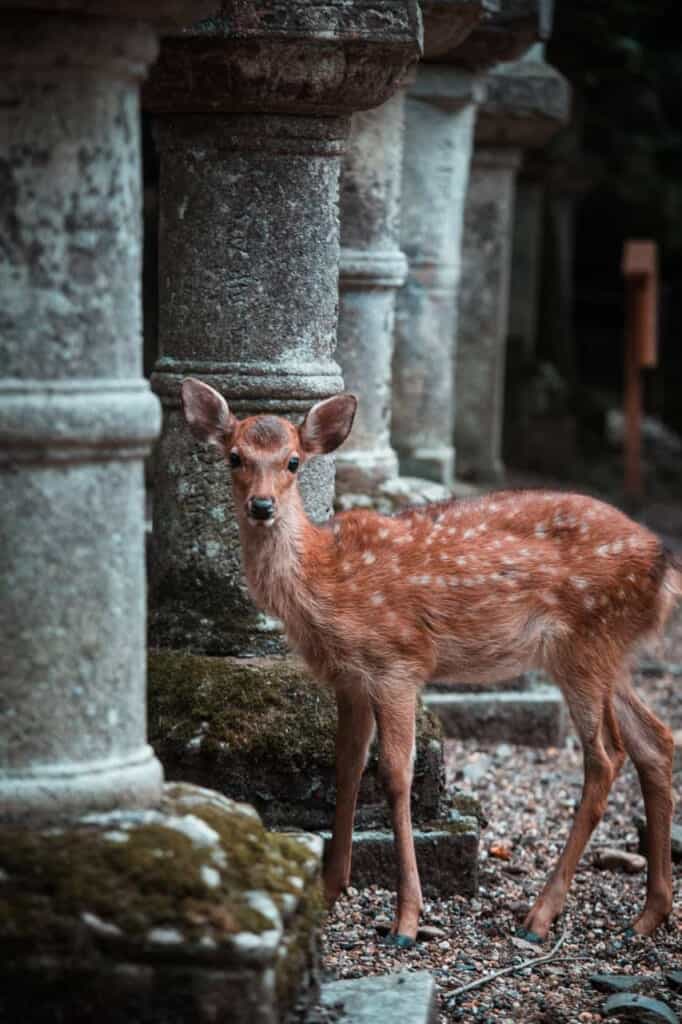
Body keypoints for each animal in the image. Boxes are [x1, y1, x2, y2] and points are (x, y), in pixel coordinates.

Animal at [180, 378, 679, 948]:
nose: (262, 505)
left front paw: (406, 920)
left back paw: (539, 915)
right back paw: (648, 914)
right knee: (656, 740)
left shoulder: (397, 663)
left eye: (292, 461)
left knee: (606, 758)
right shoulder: (349, 678)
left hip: (584, 645)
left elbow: (395, 775)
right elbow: (346, 766)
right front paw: (329, 888)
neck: (325, 581)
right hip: (607, 652)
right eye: (234, 456)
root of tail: (666, 569)